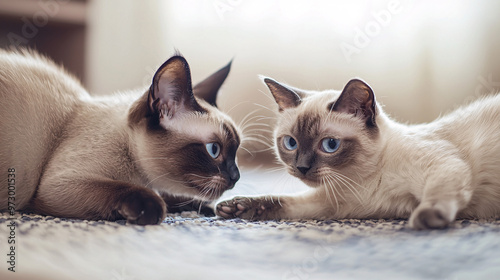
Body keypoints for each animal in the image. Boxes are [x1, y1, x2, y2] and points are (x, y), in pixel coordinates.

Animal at [0, 49, 242, 225]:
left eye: (236, 151)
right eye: (214, 150)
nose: (236, 176)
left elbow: (171, 195)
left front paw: (211, 209)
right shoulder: (60, 185)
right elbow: (135, 191)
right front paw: (151, 209)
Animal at [217, 77, 500, 230]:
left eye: (330, 145)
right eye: (290, 143)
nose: (302, 167)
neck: (362, 180)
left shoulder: (442, 165)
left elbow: (437, 195)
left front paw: (426, 219)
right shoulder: (341, 206)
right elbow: (286, 202)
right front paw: (236, 207)